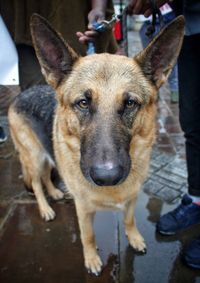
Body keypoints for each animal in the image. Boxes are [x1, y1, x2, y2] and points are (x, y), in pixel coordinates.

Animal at [9, 14, 184, 276]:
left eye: (130, 103)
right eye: (83, 102)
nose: (106, 177)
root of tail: (21, 95)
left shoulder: (132, 198)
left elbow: (129, 220)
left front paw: (134, 238)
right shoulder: (83, 209)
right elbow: (88, 236)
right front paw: (91, 260)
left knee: (47, 176)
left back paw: (55, 192)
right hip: (34, 157)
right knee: (38, 183)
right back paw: (45, 208)